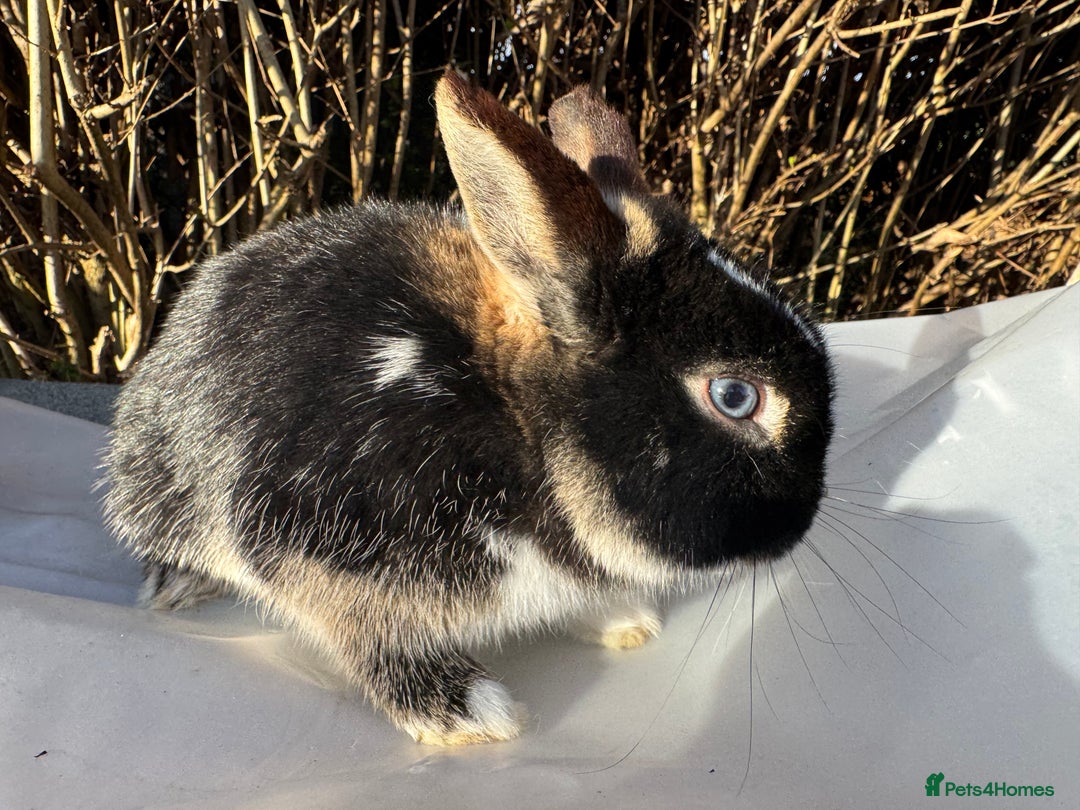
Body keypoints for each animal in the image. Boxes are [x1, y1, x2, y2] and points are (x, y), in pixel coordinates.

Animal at [102, 71, 834, 746]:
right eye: (735, 397)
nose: (800, 526)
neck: (515, 428)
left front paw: (623, 620)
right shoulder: (327, 554)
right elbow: (372, 640)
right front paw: (469, 715)